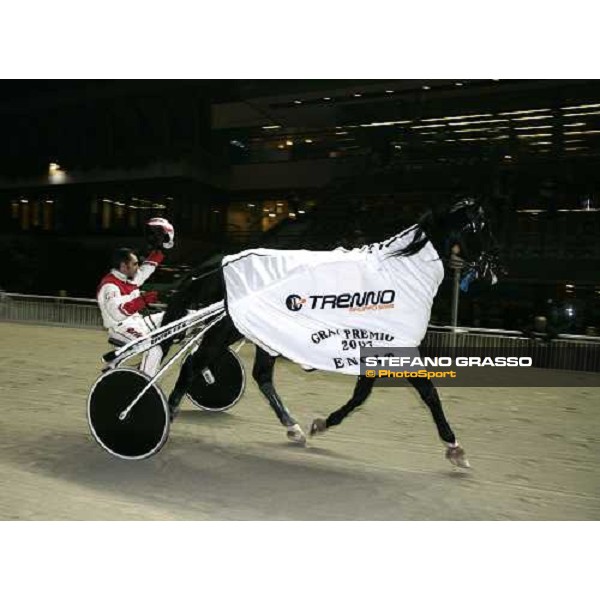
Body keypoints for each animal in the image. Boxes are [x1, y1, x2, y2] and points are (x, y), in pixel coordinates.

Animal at [159, 200, 502, 468]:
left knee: (260, 376)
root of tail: (221, 262)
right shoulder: (398, 347)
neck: (396, 276)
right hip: (225, 329)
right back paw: (170, 412)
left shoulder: (372, 347)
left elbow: (362, 394)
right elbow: (428, 394)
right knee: (193, 365)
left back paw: (293, 428)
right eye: (482, 228)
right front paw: (455, 447)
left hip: (263, 335)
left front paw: (321, 424)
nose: (494, 272)